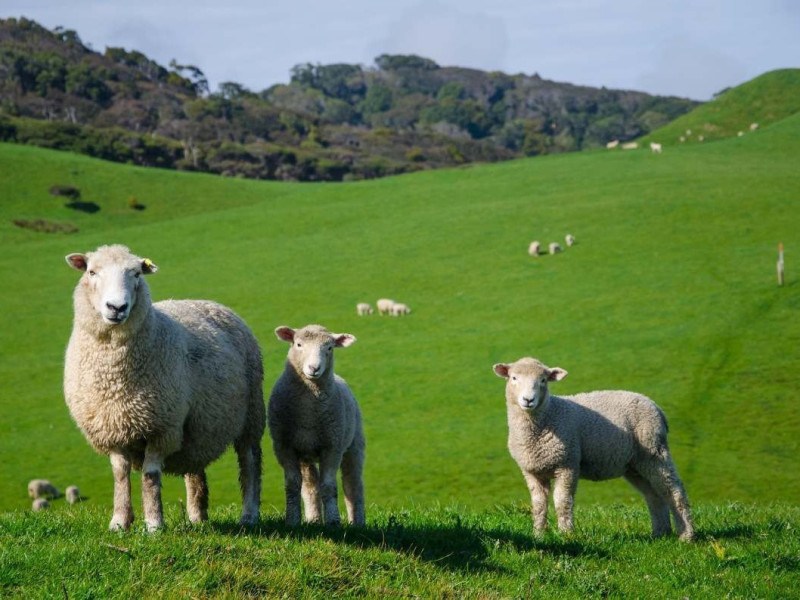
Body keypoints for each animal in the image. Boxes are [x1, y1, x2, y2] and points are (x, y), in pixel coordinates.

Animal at [63, 244, 266, 528]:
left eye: (136, 274)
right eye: (91, 272)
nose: (117, 307)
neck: (114, 379)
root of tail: (210, 302)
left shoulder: (162, 427)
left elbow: (150, 476)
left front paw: (154, 524)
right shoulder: (111, 427)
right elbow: (120, 475)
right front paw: (119, 522)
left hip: (251, 415)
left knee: (250, 462)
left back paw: (249, 514)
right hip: (198, 428)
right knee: (195, 469)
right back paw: (197, 517)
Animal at [270, 326, 368, 528]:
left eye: (329, 348)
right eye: (298, 344)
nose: (314, 368)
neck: (309, 410)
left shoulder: (332, 447)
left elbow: (329, 486)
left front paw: (333, 522)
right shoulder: (284, 446)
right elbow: (293, 484)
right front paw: (292, 520)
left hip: (354, 445)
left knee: (352, 484)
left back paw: (357, 522)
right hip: (306, 453)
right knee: (310, 485)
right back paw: (314, 519)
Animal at [490, 356, 692, 540]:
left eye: (543, 380)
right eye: (514, 378)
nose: (528, 400)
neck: (548, 414)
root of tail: (657, 408)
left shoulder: (568, 464)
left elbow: (562, 501)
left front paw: (566, 534)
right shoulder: (532, 471)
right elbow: (538, 505)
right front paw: (538, 535)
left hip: (654, 451)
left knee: (674, 490)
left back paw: (686, 536)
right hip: (635, 464)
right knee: (654, 495)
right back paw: (660, 534)